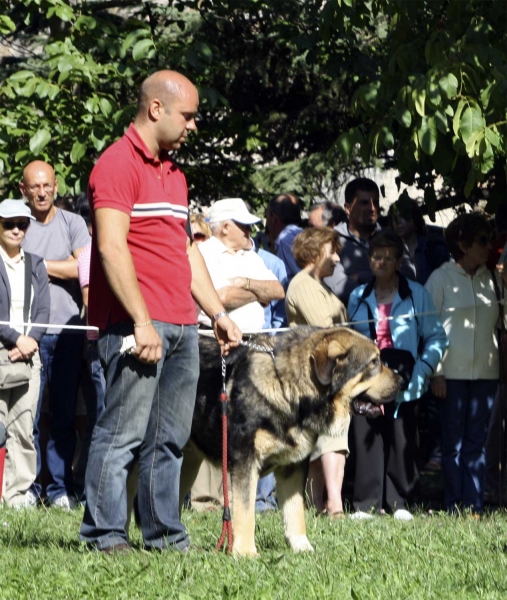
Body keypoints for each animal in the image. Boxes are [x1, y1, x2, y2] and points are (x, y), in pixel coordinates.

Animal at [183, 328, 400, 556]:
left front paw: (302, 548)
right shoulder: (245, 461)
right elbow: (245, 511)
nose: (402, 380)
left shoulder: (293, 466)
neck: (289, 390)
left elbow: (295, 509)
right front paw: (245, 553)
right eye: (374, 362)